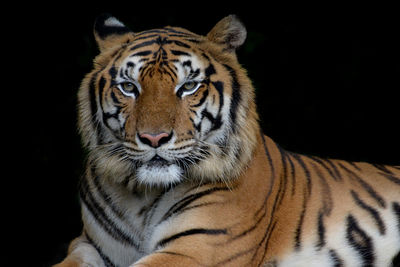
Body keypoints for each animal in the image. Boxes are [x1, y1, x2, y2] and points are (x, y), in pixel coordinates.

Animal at [54, 13, 400, 267]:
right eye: (128, 87)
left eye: (189, 86)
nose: (154, 138)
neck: (140, 196)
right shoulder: (87, 245)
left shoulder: (197, 246)